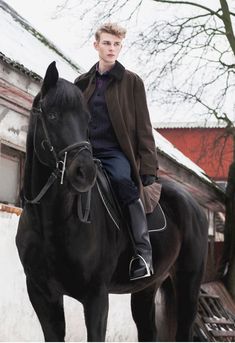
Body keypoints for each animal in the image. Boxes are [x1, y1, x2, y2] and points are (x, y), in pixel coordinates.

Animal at [16, 63, 207, 342]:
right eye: (52, 115)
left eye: (87, 120)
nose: (84, 172)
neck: (52, 222)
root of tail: (194, 206)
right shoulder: (41, 294)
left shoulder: (96, 296)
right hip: (147, 288)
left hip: (188, 284)